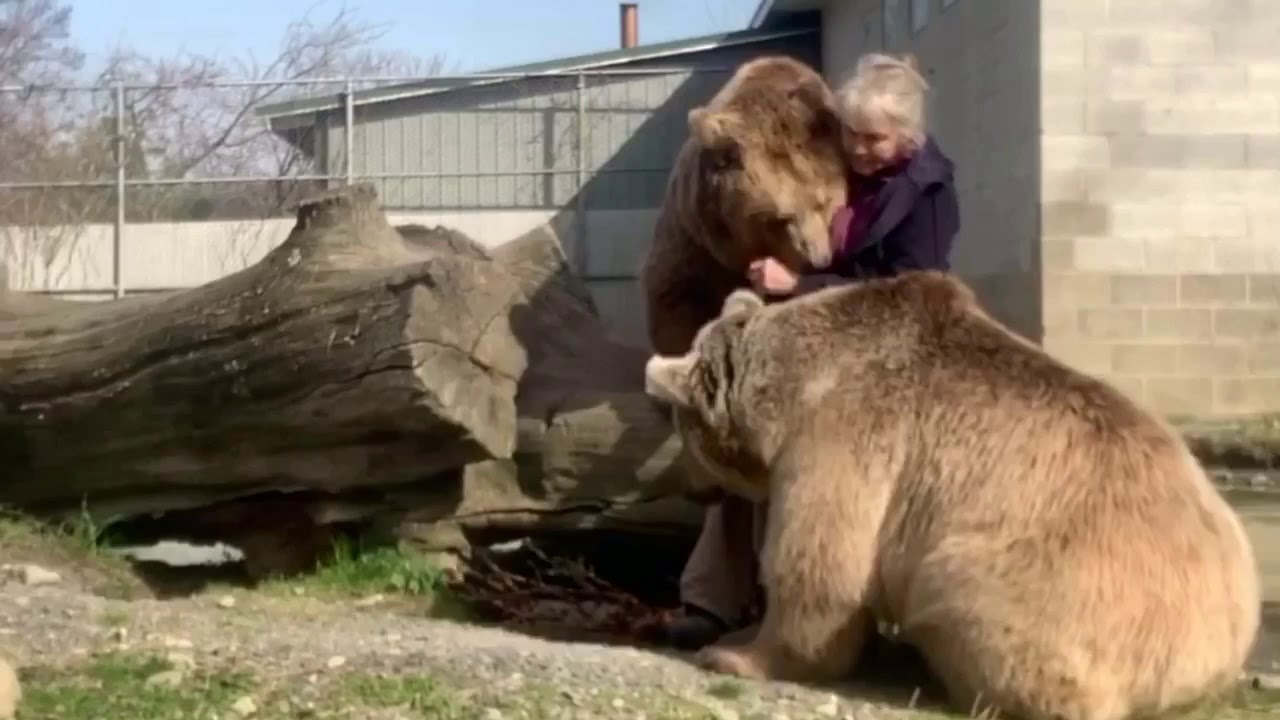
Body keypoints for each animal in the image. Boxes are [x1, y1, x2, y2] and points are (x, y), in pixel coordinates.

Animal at [642, 271, 1261, 720]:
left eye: (681, 431)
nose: (692, 490)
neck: (791, 389)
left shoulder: (848, 433)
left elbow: (819, 568)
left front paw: (734, 653)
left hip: (1050, 583)